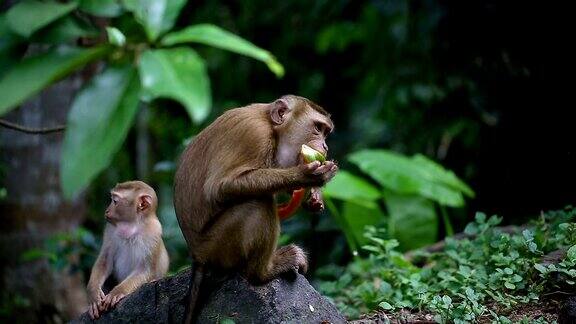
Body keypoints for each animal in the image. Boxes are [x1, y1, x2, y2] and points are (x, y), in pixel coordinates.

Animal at [86, 181, 169, 320]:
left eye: (115, 201)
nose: (107, 211)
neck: (132, 226)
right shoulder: (110, 229)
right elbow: (104, 261)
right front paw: (94, 295)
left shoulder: (154, 233)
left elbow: (145, 270)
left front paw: (117, 292)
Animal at [174, 93, 338, 322]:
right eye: (317, 128)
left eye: (326, 132)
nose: (325, 147)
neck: (271, 127)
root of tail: (196, 256)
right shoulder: (253, 134)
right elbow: (220, 187)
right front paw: (307, 177)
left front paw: (313, 195)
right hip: (217, 246)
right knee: (257, 202)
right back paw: (263, 272)